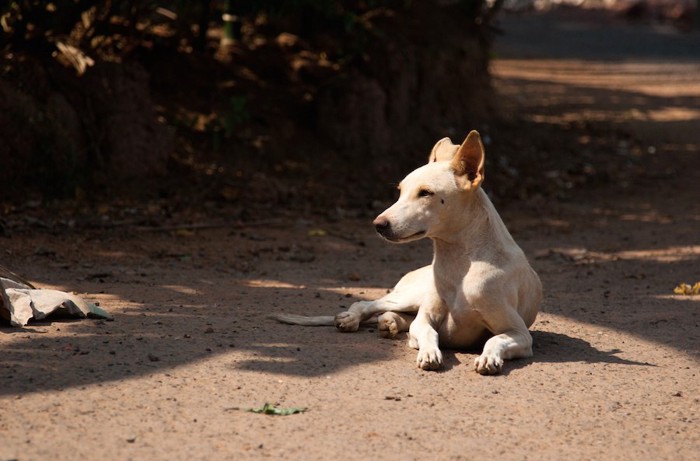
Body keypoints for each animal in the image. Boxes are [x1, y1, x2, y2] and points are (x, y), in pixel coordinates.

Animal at [272, 130, 540, 374]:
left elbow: (495, 339)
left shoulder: (519, 333)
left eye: (426, 193)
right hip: (409, 296)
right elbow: (429, 332)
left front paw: (488, 358)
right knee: (366, 303)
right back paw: (353, 319)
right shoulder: (425, 320)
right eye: (400, 191)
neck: (461, 265)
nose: (378, 225)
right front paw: (430, 353)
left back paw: (389, 322)